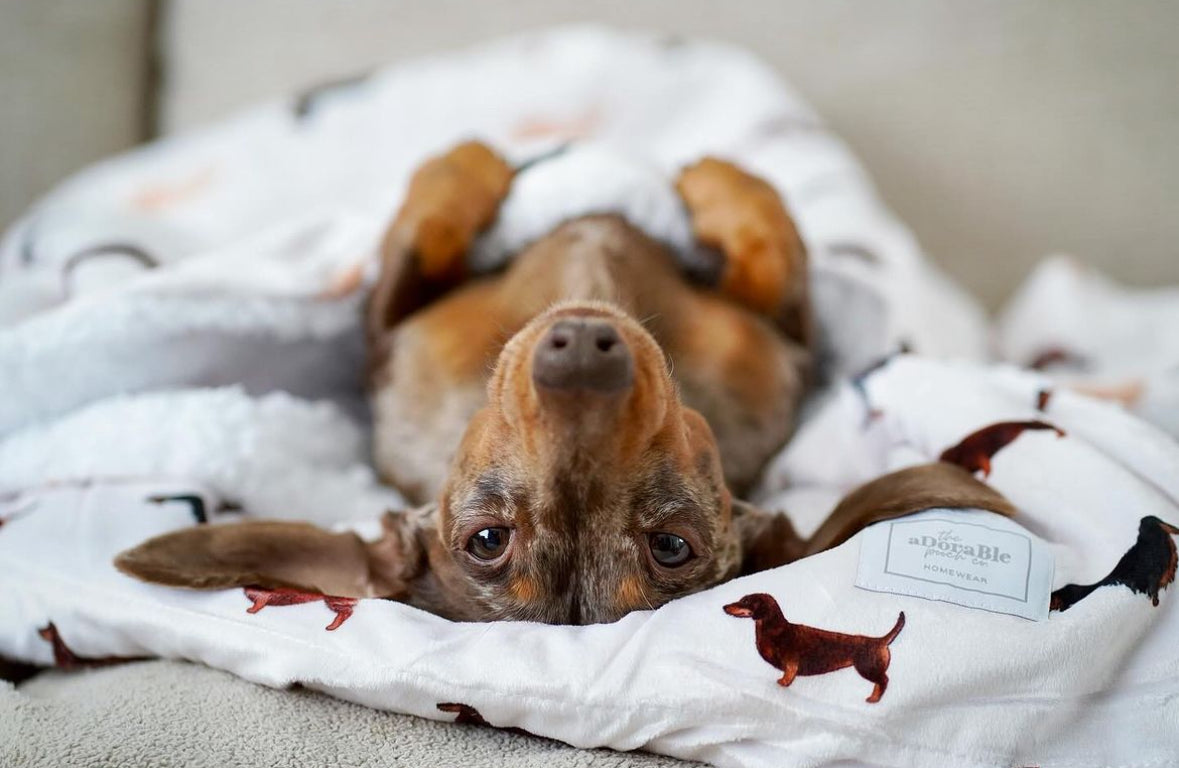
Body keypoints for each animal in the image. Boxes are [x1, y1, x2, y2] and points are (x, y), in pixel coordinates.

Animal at [117, 140, 1013, 627]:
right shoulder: (386, 334)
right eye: (486, 539)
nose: (581, 347)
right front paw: (471, 163)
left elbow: (771, 249)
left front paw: (716, 183)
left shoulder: (783, 350)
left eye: (670, 545)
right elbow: (422, 228)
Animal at [721, 594, 905, 703]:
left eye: (745, 601)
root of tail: (880, 641)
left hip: (868, 667)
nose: (724, 607)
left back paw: (873, 699)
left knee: (884, 681)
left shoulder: (791, 662)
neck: (774, 630)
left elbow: (788, 675)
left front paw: (782, 683)